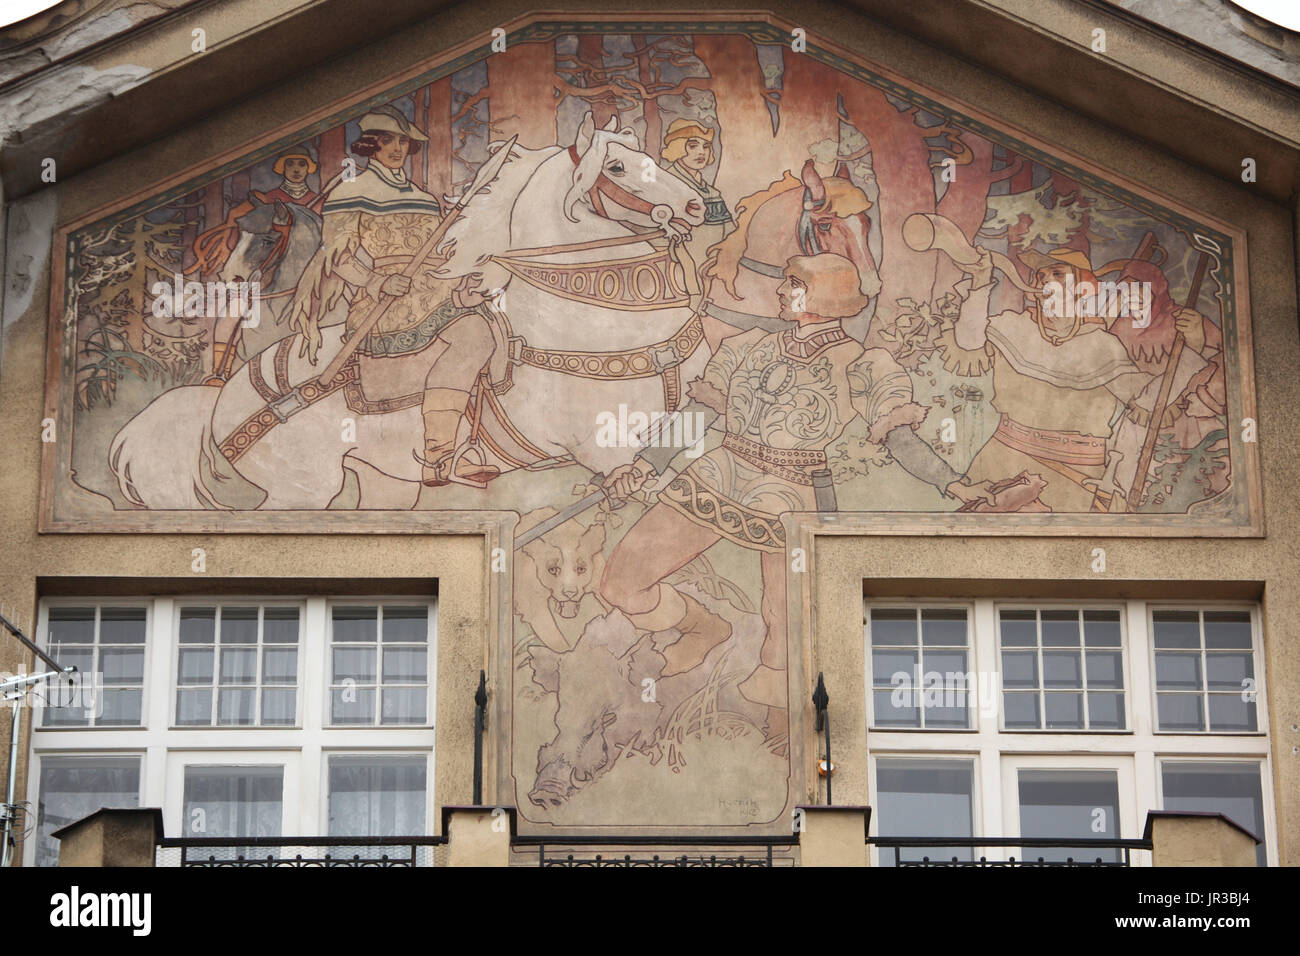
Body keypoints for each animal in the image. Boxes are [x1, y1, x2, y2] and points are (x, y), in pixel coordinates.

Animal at [109, 115, 702, 512]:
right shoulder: (599, 449)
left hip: (385, 482)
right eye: (617, 166)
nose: (697, 205)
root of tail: (225, 394)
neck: (584, 326)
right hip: (301, 491)